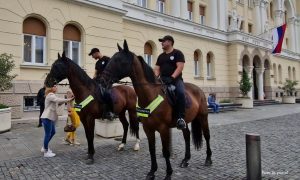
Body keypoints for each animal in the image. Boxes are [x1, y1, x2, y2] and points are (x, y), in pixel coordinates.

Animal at [99, 40, 212, 180]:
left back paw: (208, 159)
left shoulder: (163, 129)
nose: (102, 81)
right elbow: (152, 149)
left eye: (119, 60)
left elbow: (165, 151)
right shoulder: (148, 128)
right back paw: (185, 160)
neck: (150, 94)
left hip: (203, 117)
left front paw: (168, 174)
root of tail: (199, 90)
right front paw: (152, 172)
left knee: (207, 136)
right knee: (187, 136)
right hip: (184, 121)